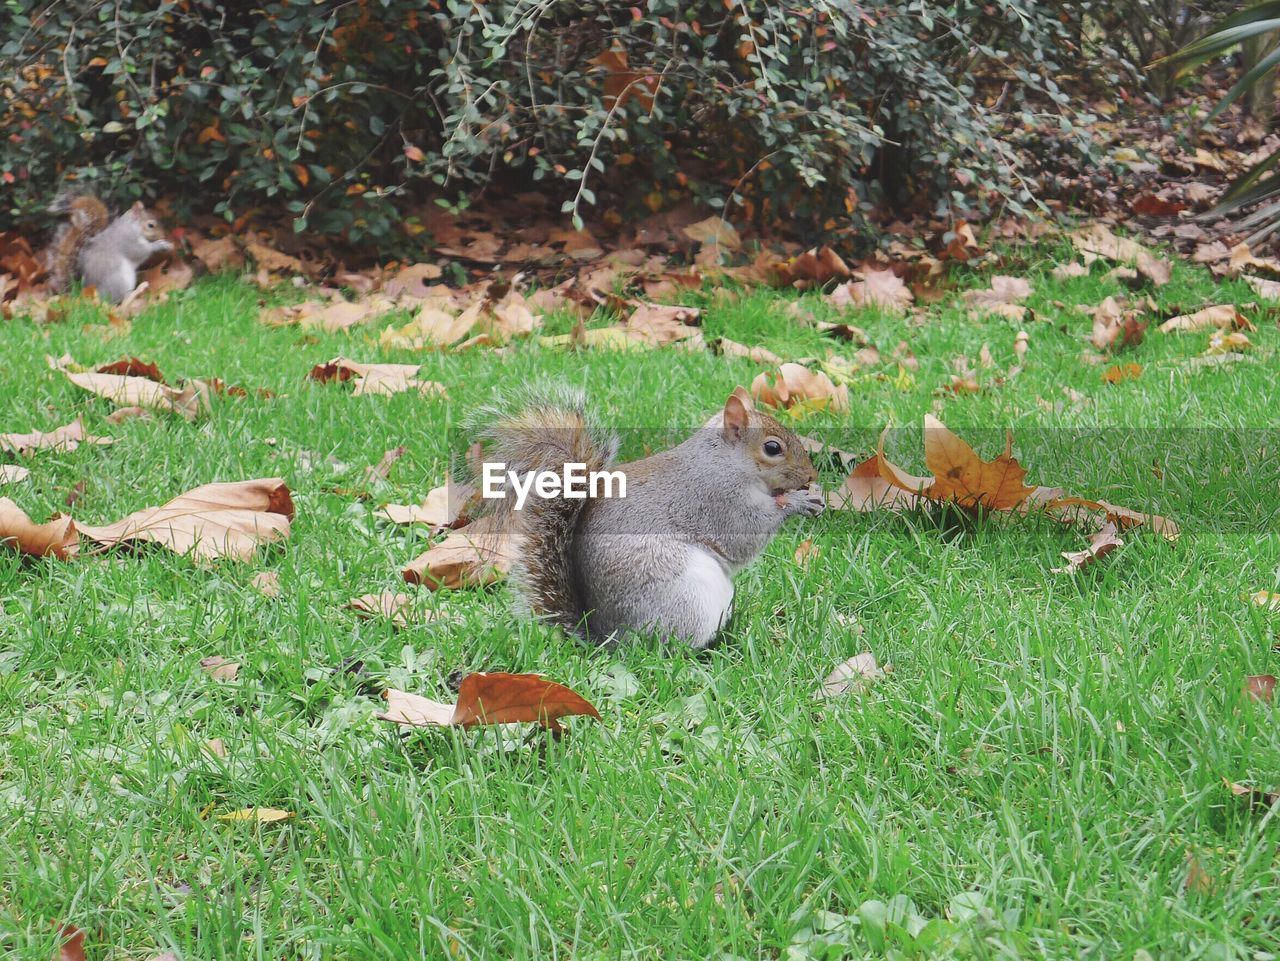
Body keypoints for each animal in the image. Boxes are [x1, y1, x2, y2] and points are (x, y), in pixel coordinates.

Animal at [478, 386, 819, 650]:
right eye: (772, 448)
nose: (810, 476)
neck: (725, 460)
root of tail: (606, 638)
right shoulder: (717, 498)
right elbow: (746, 534)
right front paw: (797, 502)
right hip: (683, 597)